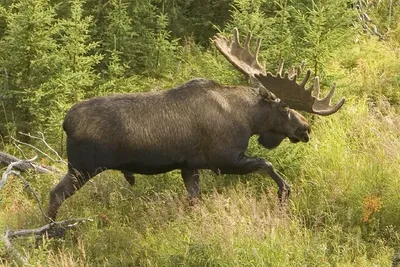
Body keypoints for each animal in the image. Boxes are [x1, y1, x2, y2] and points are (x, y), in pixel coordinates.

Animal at [47, 28, 344, 220]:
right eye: (285, 108)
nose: (305, 128)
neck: (248, 119)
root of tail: (65, 122)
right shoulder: (223, 159)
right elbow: (267, 164)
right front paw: (284, 194)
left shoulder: (190, 165)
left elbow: (194, 200)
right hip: (83, 168)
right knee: (55, 195)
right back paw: (51, 235)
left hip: (79, 168)